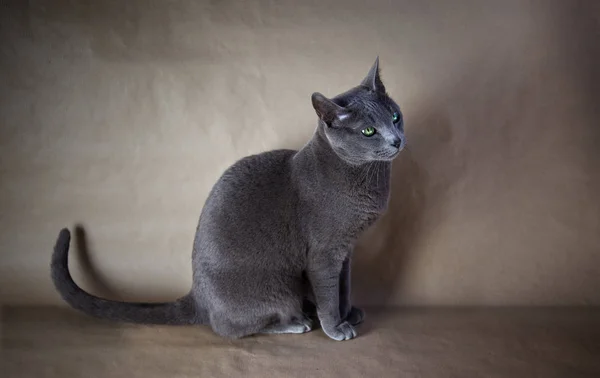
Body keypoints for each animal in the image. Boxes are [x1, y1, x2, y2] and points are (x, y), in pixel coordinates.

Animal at [51, 56, 406, 342]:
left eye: (395, 117)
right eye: (369, 131)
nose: (397, 139)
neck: (364, 177)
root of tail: (198, 296)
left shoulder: (347, 250)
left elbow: (342, 287)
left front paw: (349, 313)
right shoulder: (324, 252)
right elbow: (329, 293)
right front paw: (336, 327)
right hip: (277, 287)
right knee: (230, 328)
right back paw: (297, 322)